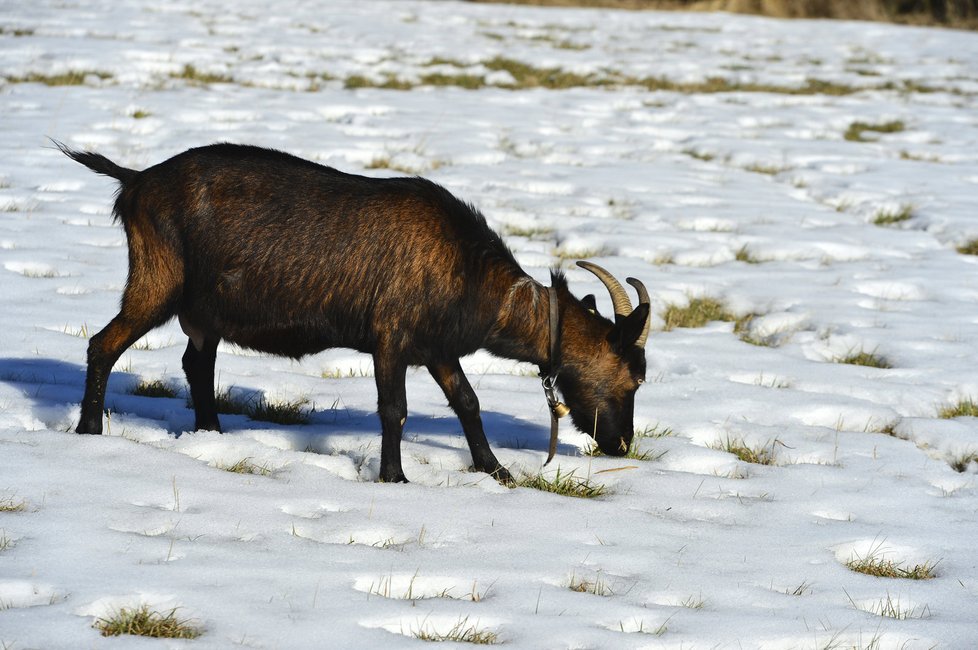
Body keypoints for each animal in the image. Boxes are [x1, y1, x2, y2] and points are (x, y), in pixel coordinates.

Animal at [57, 144, 644, 484]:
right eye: (635, 378)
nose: (622, 443)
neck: (469, 273)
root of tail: (135, 180)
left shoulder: (436, 348)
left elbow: (468, 403)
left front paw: (494, 469)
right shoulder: (391, 338)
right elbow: (395, 411)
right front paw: (394, 478)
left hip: (203, 311)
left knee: (196, 364)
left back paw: (211, 434)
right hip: (157, 280)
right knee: (103, 344)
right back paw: (89, 430)